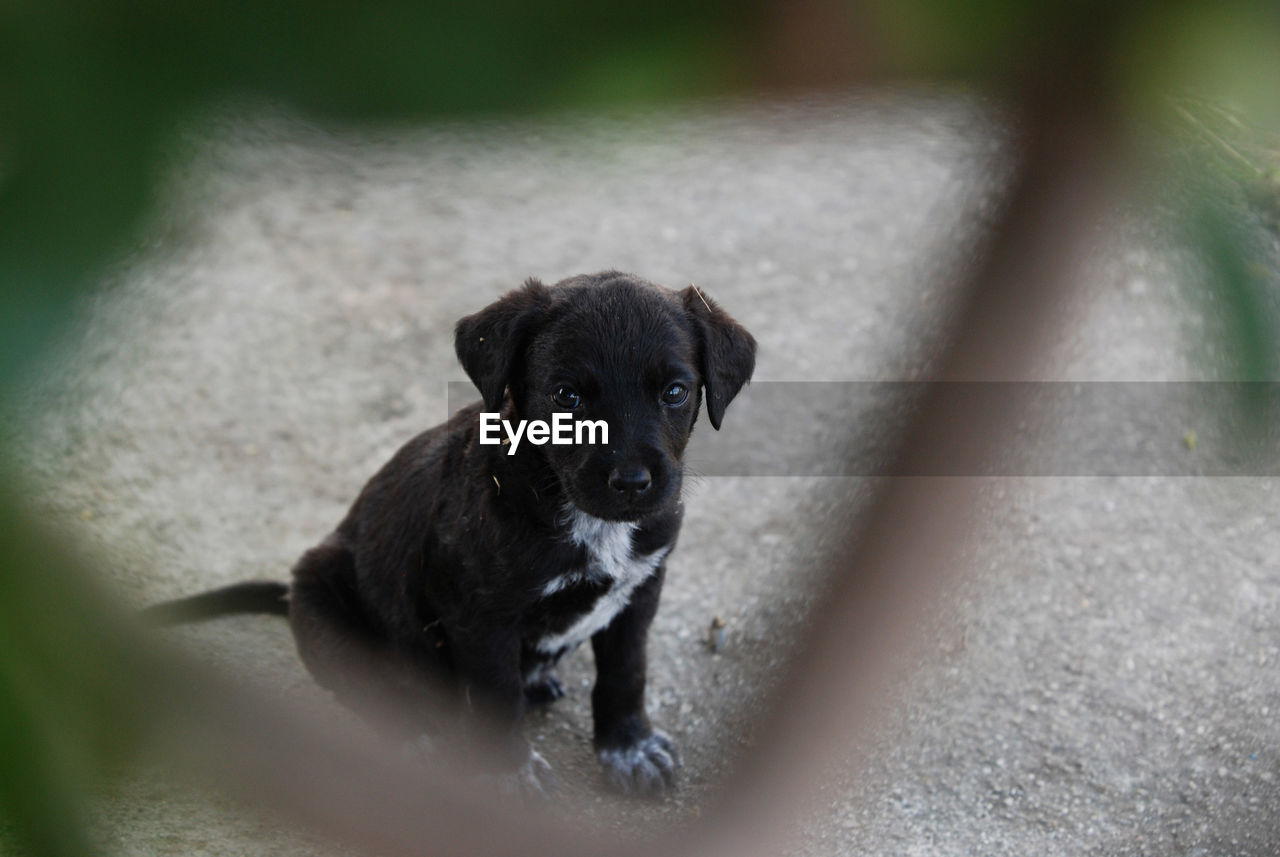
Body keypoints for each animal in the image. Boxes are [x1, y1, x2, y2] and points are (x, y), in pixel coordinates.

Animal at [146, 269, 752, 798]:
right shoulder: (480, 617)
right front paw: (509, 772)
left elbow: (626, 673)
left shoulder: (641, 589)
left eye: (675, 391)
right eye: (567, 397)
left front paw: (628, 748)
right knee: (374, 692)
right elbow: (496, 697)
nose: (631, 483)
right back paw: (419, 738)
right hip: (324, 605)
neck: (574, 512)